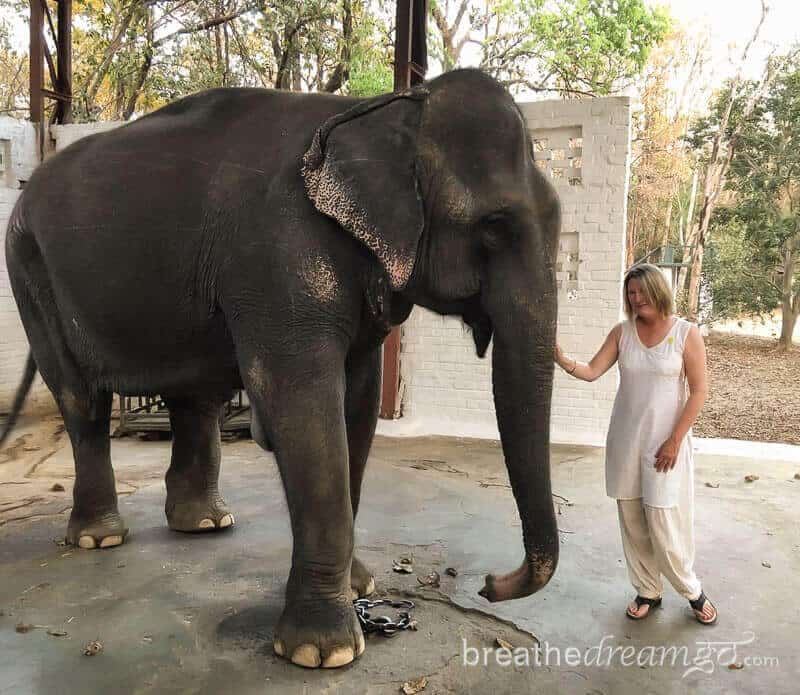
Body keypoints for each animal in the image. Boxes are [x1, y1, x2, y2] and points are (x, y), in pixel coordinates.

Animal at [0, 69, 564, 668]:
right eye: (494, 228)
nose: (489, 583)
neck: (383, 110)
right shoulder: (279, 257)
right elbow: (304, 405)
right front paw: (323, 652)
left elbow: (358, 407)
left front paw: (359, 588)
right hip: (29, 270)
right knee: (81, 399)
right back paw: (99, 538)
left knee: (194, 397)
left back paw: (204, 524)